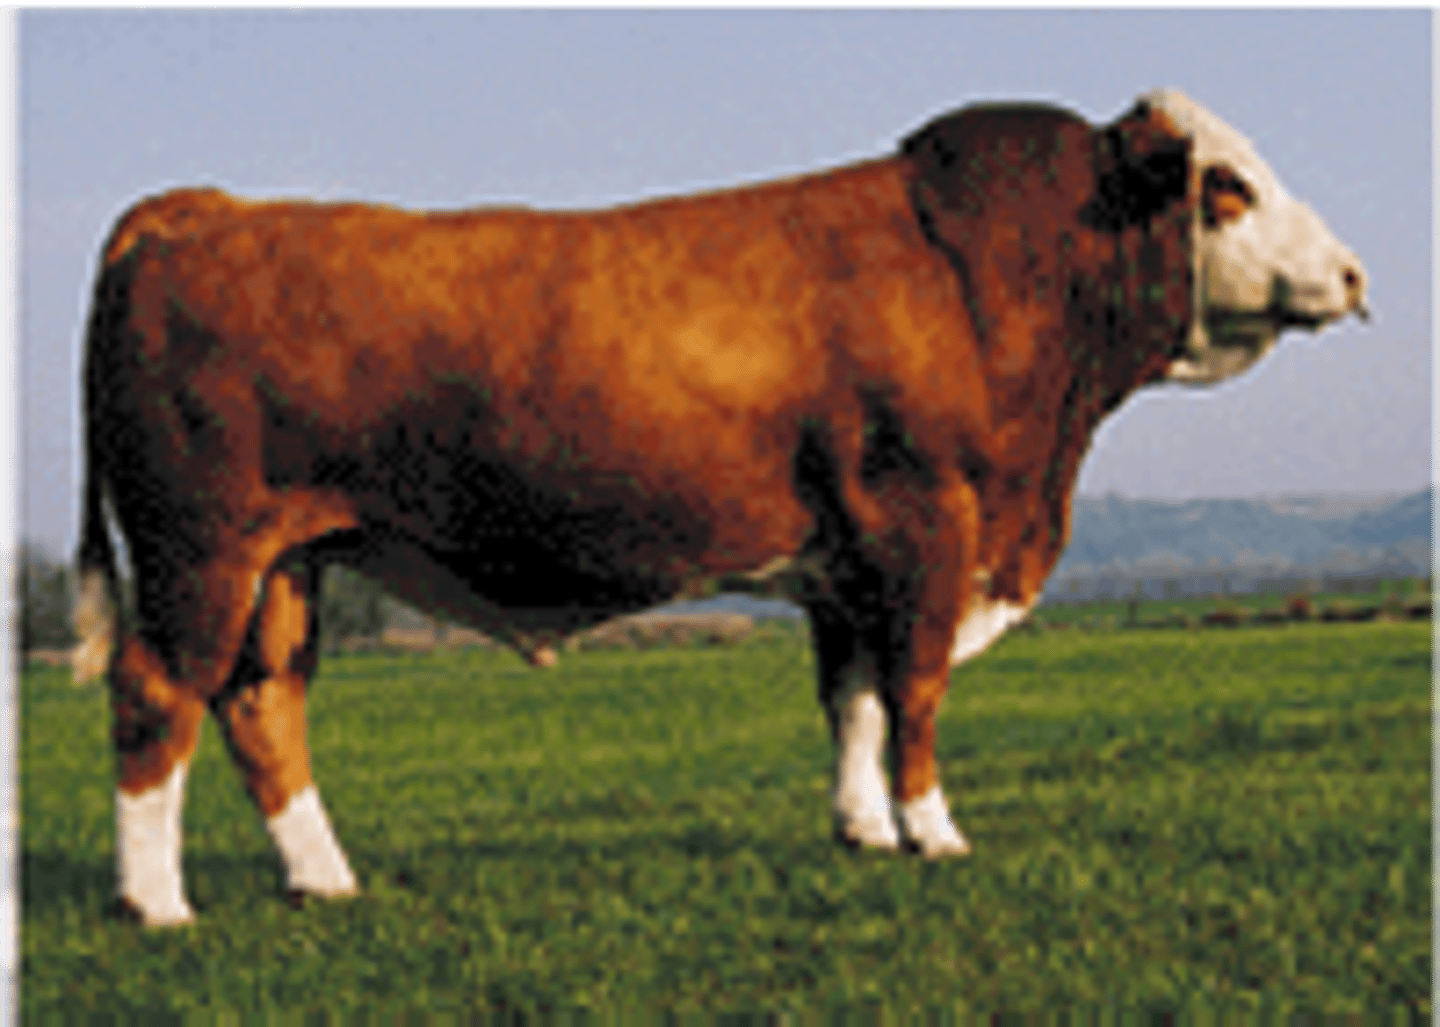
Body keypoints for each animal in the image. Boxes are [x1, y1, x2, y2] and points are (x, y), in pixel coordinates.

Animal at [72, 89, 1367, 926]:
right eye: (1229, 187)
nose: (1355, 273)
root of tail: (204, 207)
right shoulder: (929, 525)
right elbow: (917, 692)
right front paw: (935, 832)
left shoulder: (848, 559)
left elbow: (852, 699)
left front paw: (863, 830)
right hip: (201, 547)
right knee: (157, 693)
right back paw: (156, 902)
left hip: (289, 559)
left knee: (259, 700)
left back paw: (322, 878)